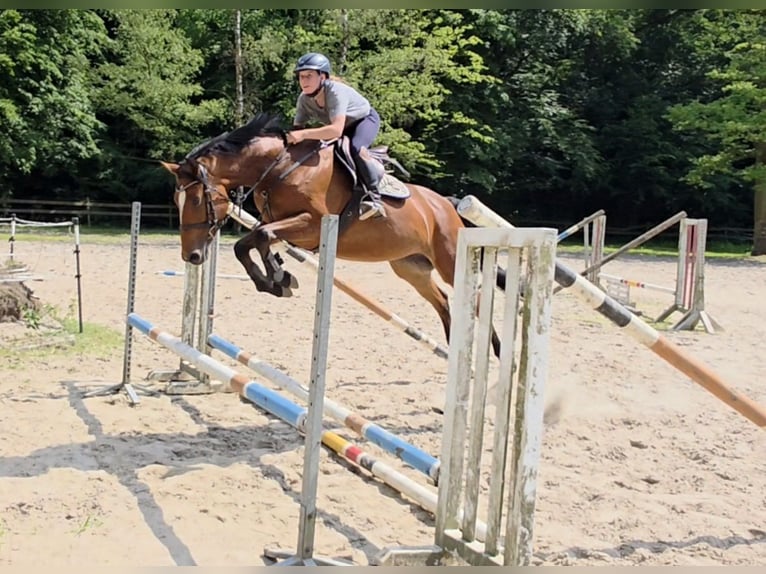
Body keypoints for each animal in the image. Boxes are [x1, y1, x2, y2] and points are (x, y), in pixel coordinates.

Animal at [160, 112, 504, 356]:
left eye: (195, 200)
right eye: (177, 201)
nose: (191, 256)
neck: (277, 168)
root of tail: (446, 203)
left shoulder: (312, 224)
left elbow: (257, 238)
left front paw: (277, 277)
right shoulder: (283, 226)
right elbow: (250, 243)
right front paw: (277, 279)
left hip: (450, 259)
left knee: (474, 300)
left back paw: (495, 352)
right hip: (411, 267)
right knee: (444, 301)